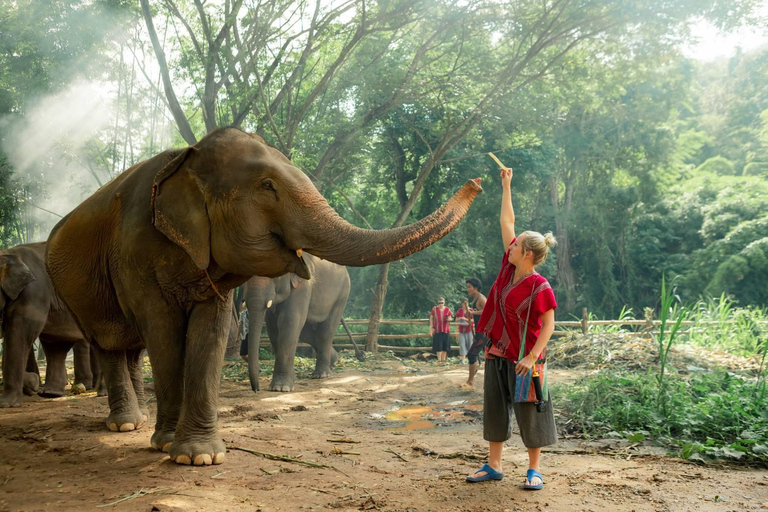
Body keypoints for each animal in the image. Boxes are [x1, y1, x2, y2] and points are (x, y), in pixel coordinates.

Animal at [0, 242, 99, 406]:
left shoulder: (34, 293)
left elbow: (18, 336)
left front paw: (8, 403)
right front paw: (32, 384)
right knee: (55, 345)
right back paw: (50, 393)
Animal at [244, 255, 356, 392]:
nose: (256, 389)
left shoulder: (304, 285)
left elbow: (289, 321)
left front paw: (281, 388)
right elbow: (273, 327)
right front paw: (292, 380)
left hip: (342, 294)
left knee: (326, 330)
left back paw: (322, 374)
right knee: (307, 333)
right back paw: (333, 361)